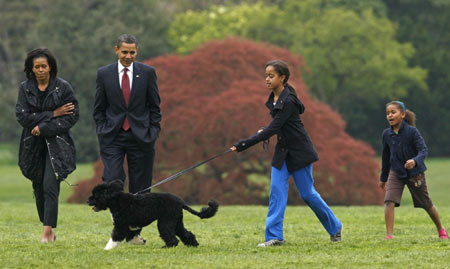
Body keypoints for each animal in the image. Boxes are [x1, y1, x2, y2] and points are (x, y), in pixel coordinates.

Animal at [87, 180, 218, 249]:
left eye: (96, 195)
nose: (88, 200)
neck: (116, 200)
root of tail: (181, 202)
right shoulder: (128, 225)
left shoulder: (120, 225)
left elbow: (115, 237)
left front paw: (107, 249)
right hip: (176, 221)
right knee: (186, 234)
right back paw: (193, 245)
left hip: (166, 221)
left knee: (172, 237)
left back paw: (167, 247)